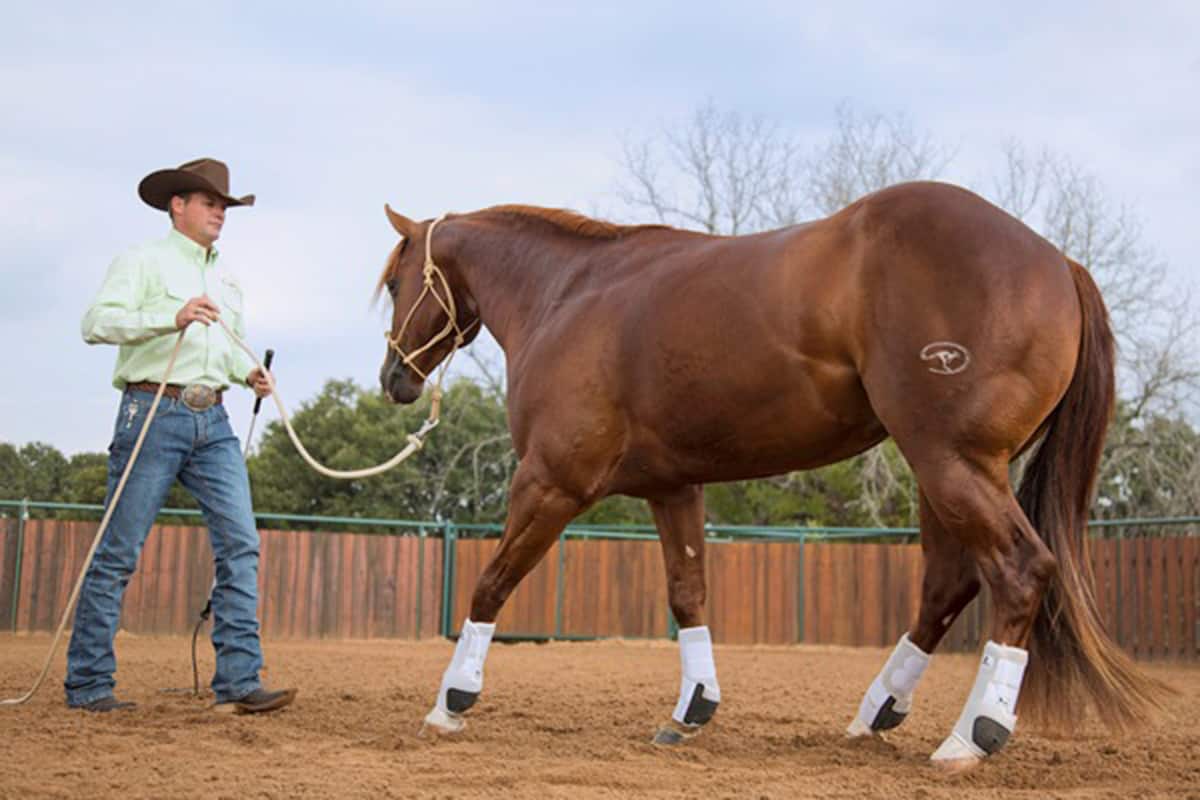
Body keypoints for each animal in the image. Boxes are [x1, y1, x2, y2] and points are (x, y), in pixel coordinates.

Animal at [375, 181, 1166, 768]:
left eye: (395, 281)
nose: (393, 378)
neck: (570, 294)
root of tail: (1057, 261)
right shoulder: (673, 488)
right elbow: (688, 593)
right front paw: (692, 709)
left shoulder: (550, 482)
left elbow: (492, 582)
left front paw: (450, 701)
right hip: (945, 470)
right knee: (949, 585)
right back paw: (878, 709)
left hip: (952, 462)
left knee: (1020, 569)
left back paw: (971, 736)